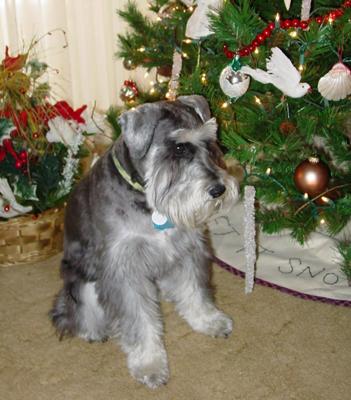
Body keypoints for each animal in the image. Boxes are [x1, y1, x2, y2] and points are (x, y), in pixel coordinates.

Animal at [51, 94, 241, 388]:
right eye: (178, 148)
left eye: (209, 142)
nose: (219, 189)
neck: (147, 199)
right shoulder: (123, 268)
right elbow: (139, 320)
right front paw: (150, 365)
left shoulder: (186, 247)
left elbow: (195, 290)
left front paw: (208, 320)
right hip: (81, 283)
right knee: (75, 312)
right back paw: (92, 330)